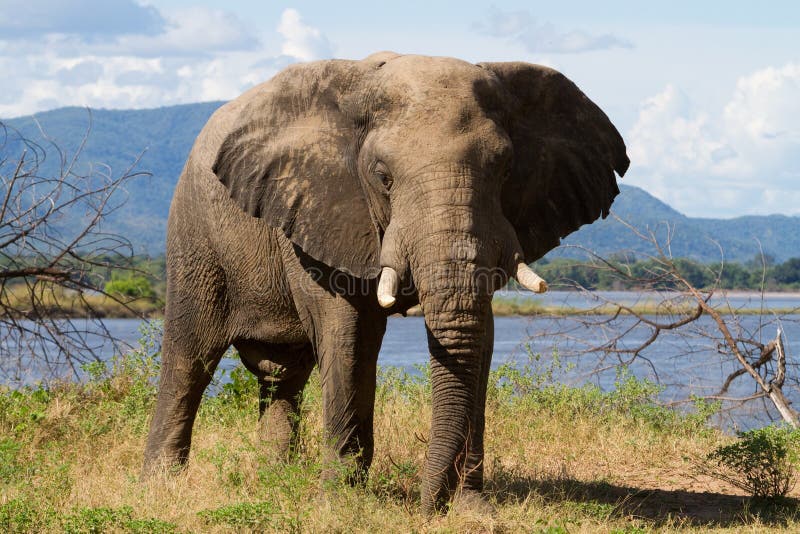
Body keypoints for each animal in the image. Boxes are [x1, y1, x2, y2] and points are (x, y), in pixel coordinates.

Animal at [145, 51, 632, 516]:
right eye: (383, 177)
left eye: (505, 169)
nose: (428, 506)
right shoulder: (322, 211)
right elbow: (348, 336)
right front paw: (340, 505)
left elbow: (482, 337)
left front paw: (473, 511)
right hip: (195, 235)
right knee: (190, 358)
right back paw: (163, 484)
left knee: (281, 375)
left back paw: (275, 477)